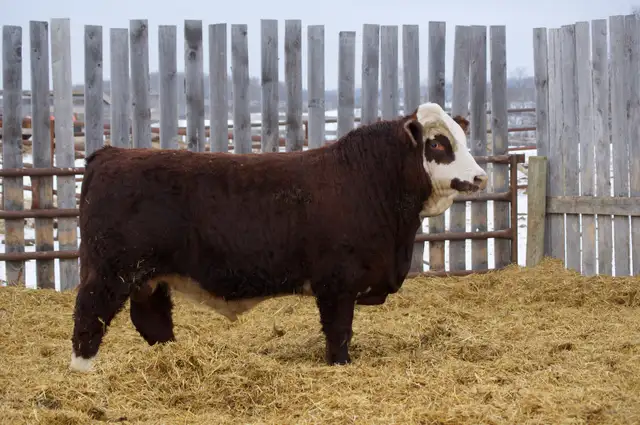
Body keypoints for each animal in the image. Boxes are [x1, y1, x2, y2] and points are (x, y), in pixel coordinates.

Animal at [69, 102, 488, 372]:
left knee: (152, 321)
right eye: (438, 143)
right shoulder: (336, 283)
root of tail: (110, 154)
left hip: (150, 278)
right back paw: (83, 374)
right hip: (110, 273)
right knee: (89, 318)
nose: (480, 176)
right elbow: (339, 334)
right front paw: (340, 366)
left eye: (461, 139)